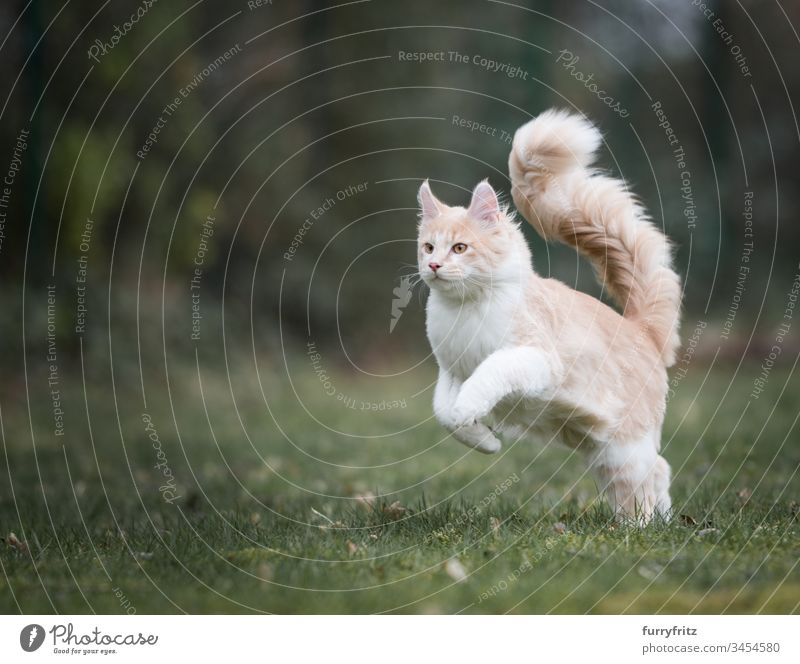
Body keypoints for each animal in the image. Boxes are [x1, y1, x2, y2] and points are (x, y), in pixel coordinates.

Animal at [418, 109, 680, 524]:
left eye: (459, 248)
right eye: (428, 246)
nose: (433, 265)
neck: (464, 309)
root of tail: (642, 329)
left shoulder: (533, 358)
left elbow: (485, 378)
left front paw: (471, 412)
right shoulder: (451, 372)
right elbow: (443, 412)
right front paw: (485, 441)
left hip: (623, 449)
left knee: (645, 482)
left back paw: (640, 529)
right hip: (600, 449)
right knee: (659, 471)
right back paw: (662, 522)